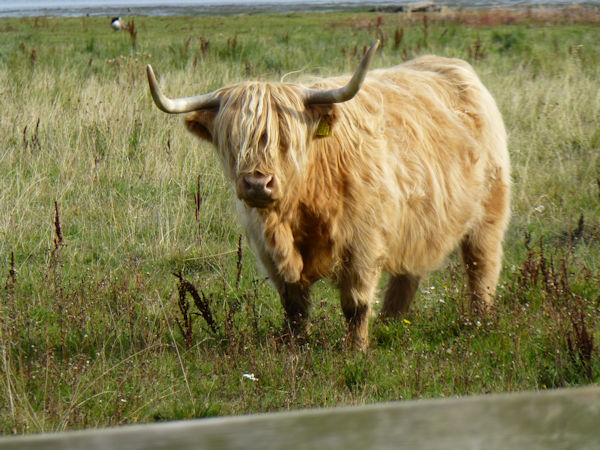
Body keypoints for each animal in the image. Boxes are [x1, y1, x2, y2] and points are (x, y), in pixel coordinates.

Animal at [146, 41, 510, 352]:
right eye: (233, 140)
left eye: (286, 140)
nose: (257, 184)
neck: (303, 205)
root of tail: (453, 65)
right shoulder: (269, 250)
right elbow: (294, 308)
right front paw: (298, 348)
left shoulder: (363, 245)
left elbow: (355, 305)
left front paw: (356, 351)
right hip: (419, 223)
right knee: (408, 275)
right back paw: (391, 323)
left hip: (488, 214)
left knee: (482, 266)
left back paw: (479, 321)